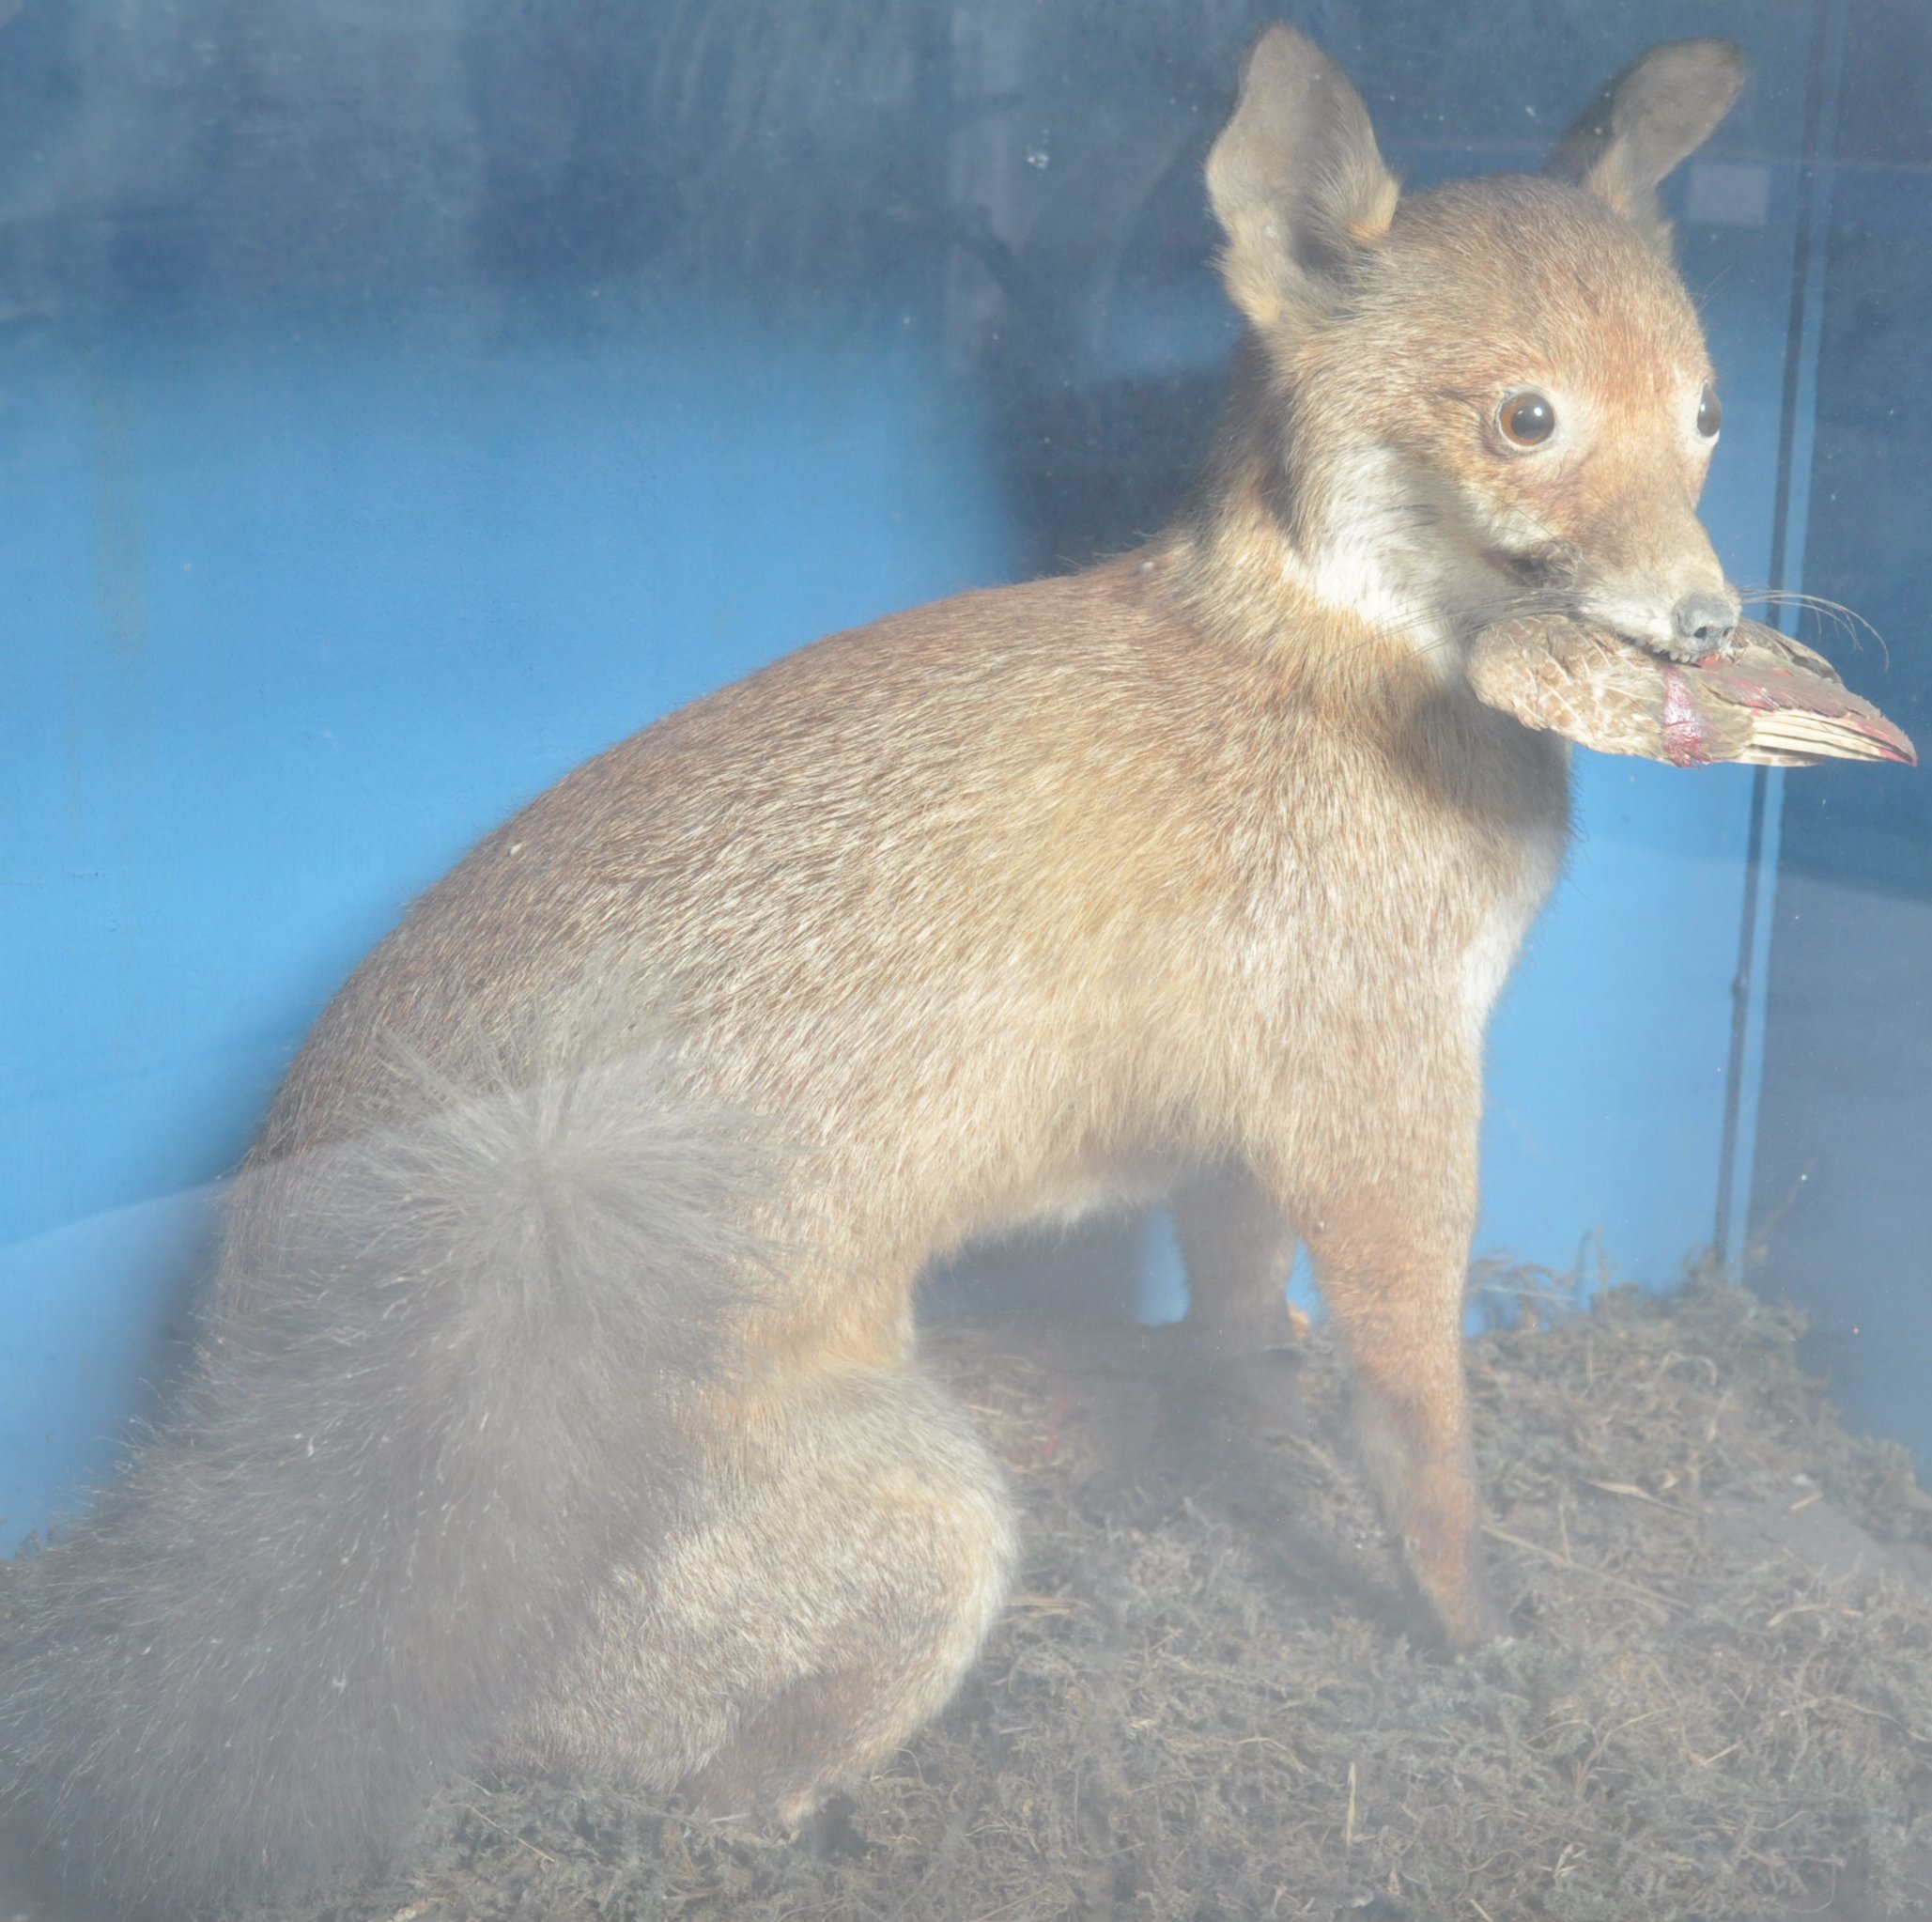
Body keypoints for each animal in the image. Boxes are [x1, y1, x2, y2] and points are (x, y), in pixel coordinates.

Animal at [0, 23, 1754, 1915]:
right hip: (939, 1522)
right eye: (1528, 419)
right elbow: (1418, 1434)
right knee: (717, 1802)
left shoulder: (1246, 1130)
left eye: (1709, 412)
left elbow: (1242, 1329)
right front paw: (1473, 1626)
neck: (1318, 678)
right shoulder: (1378, 1103)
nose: (1713, 620)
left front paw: (1244, 1435)